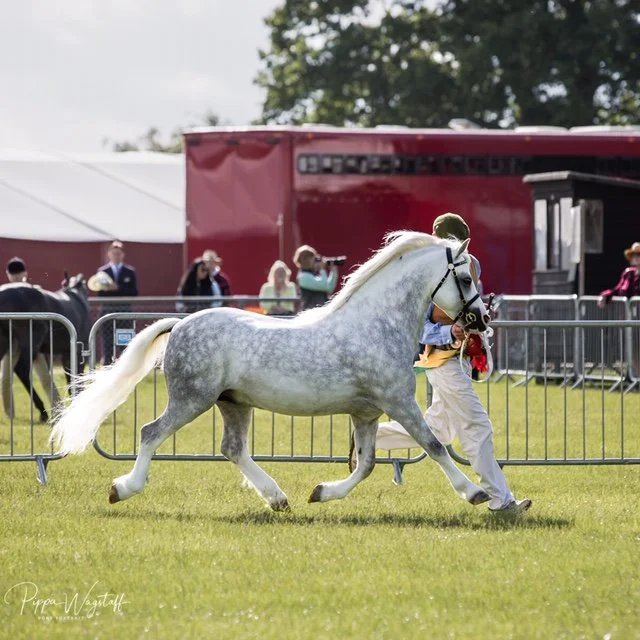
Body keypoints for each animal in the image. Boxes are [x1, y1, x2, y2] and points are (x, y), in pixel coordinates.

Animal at [51, 231, 490, 511]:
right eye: (465, 277)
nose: (481, 320)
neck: (378, 324)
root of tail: (180, 324)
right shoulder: (398, 401)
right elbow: (433, 445)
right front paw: (475, 493)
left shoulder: (366, 412)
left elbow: (365, 465)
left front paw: (320, 492)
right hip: (192, 399)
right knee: (150, 433)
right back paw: (123, 489)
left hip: (233, 403)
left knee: (232, 448)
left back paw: (278, 498)